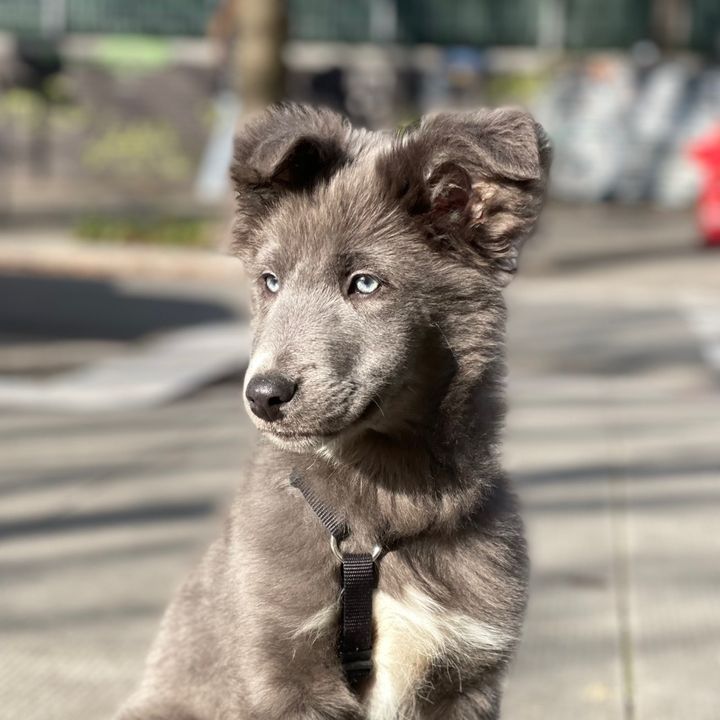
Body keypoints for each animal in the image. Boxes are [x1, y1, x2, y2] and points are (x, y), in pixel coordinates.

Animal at [117, 103, 551, 720]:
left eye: (365, 284)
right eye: (270, 281)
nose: (263, 395)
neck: (376, 516)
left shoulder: (467, 672)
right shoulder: (282, 661)